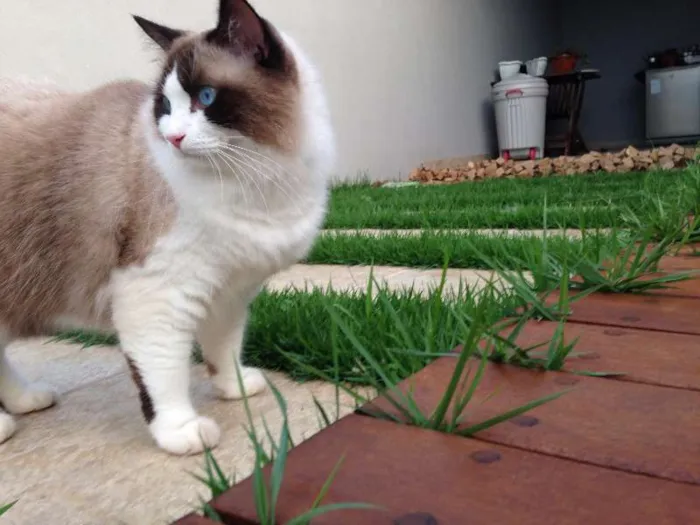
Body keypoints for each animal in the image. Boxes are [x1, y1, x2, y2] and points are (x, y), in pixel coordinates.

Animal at [0, 0, 336, 454]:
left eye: (205, 98)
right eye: (164, 106)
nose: (172, 137)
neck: (257, 183)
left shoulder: (230, 293)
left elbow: (224, 347)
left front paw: (234, 389)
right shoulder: (156, 293)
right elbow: (163, 372)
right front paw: (180, 430)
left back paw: (25, 400)